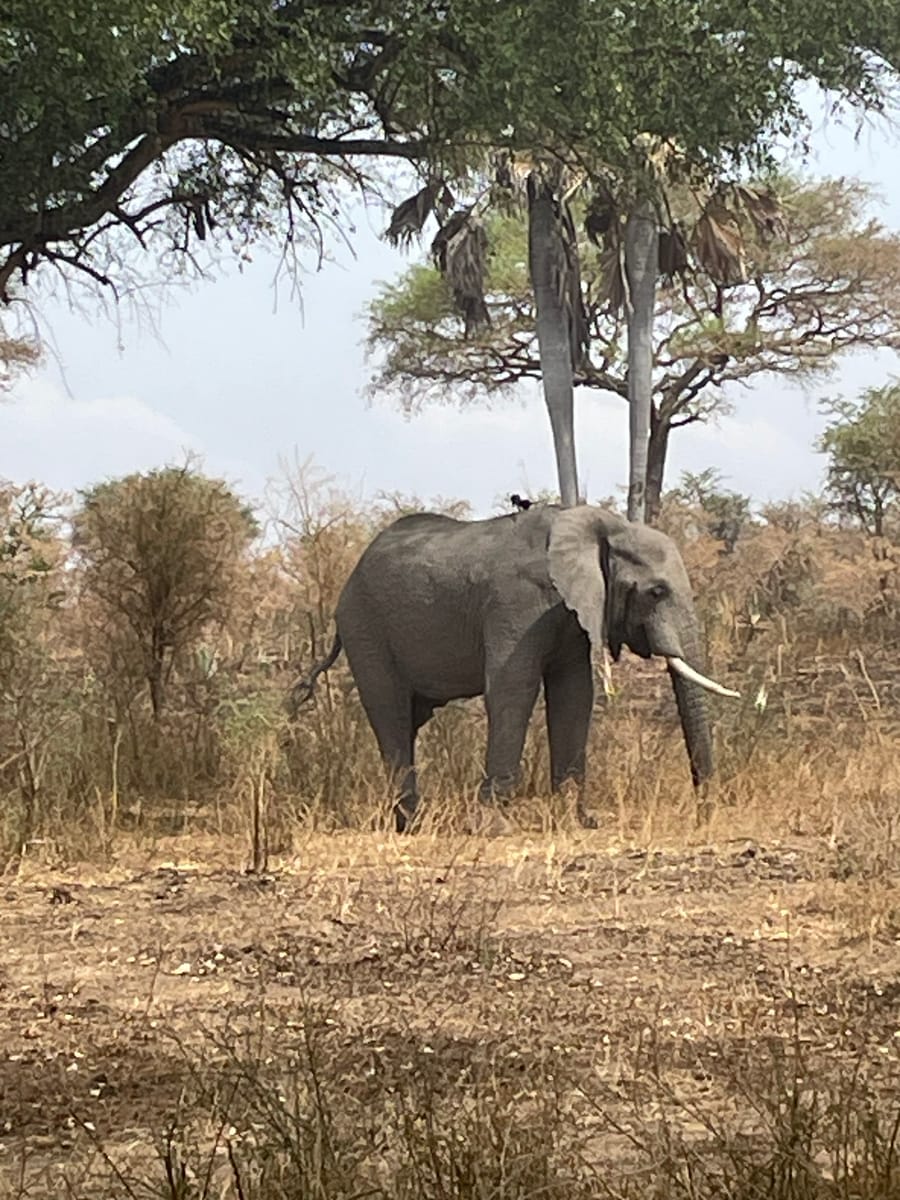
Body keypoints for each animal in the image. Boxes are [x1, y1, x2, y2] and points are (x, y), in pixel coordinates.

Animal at [289, 503, 738, 831]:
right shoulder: (518, 604)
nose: (702, 818)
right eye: (656, 592)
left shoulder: (571, 616)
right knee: (391, 713)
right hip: (365, 627)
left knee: (410, 717)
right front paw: (494, 828)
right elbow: (512, 687)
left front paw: (580, 823)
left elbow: (575, 694)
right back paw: (411, 825)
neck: (601, 524)